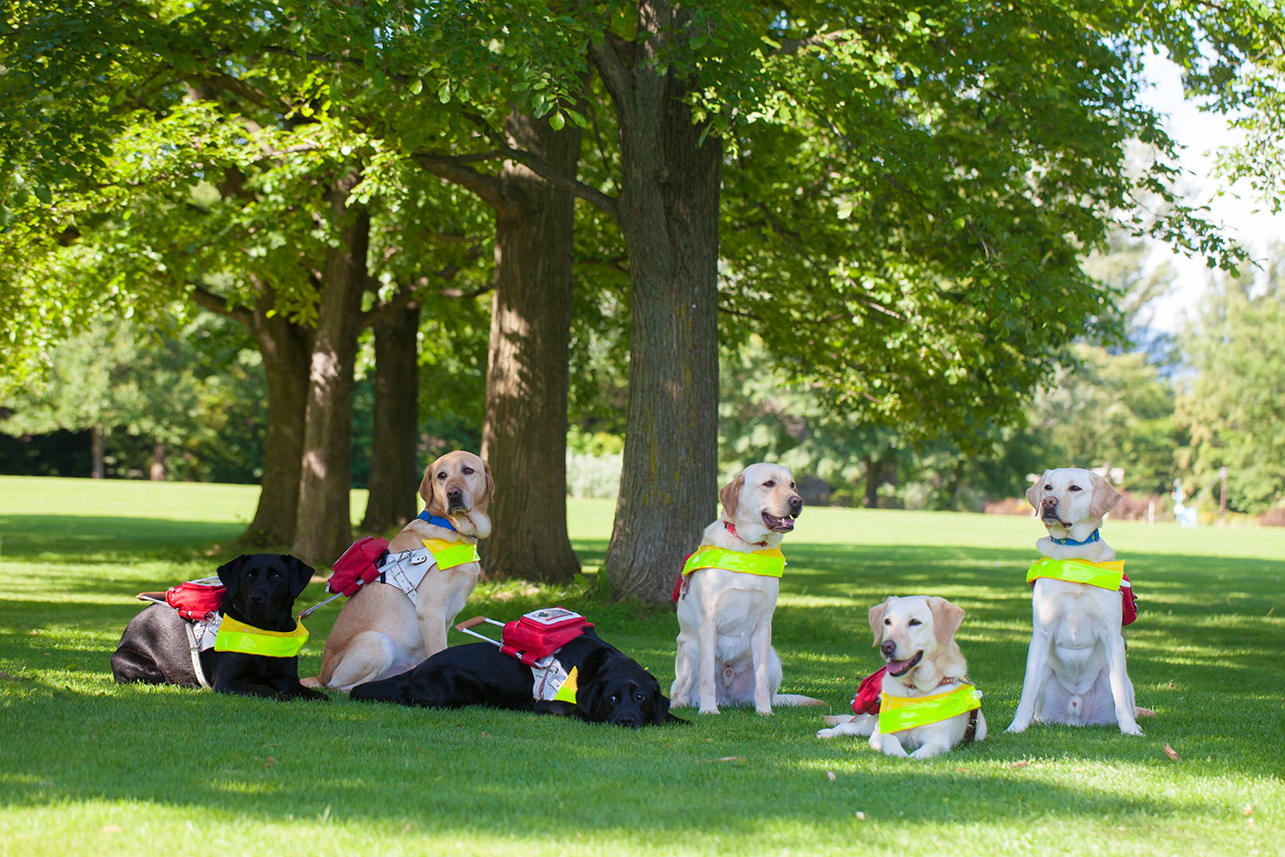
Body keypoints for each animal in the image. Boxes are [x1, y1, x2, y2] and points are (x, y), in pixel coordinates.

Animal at [308, 452, 493, 693]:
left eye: (468, 471)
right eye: (441, 475)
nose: (453, 493)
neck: (451, 528)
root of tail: (321, 674)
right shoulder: (431, 611)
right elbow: (439, 651)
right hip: (377, 642)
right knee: (341, 687)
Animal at [668, 465, 817, 714]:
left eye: (792, 485)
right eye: (769, 484)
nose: (797, 501)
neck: (747, 550)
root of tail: (729, 699)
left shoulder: (763, 624)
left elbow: (760, 679)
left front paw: (764, 712)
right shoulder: (708, 622)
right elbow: (707, 678)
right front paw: (708, 710)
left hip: (774, 661)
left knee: (766, 687)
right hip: (689, 652)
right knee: (680, 691)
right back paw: (684, 705)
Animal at [817, 596, 986, 755]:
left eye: (915, 622)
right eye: (887, 621)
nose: (886, 646)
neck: (914, 689)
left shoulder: (938, 741)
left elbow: (922, 754)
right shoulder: (880, 731)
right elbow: (890, 740)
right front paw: (897, 754)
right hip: (867, 725)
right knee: (847, 726)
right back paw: (827, 733)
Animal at [1002, 470, 1146, 740]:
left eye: (1075, 488)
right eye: (1048, 487)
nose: (1048, 502)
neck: (1074, 557)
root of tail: (1075, 717)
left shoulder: (1112, 636)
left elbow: (1120, 692)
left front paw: (1130, 729)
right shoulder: (1041, 633)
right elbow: (1026, 691)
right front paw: (1016, 726)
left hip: (1111, 673)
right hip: (1047, 672)